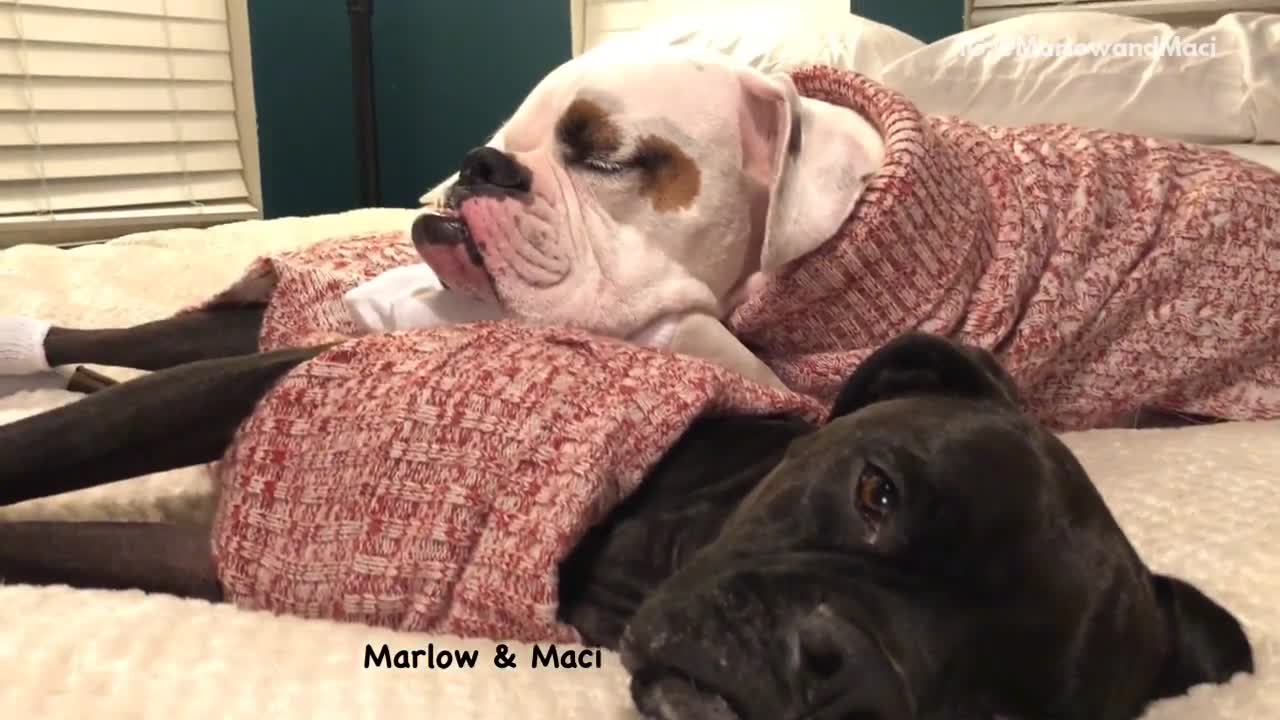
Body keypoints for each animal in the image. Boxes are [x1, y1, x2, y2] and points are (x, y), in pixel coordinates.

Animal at [0, 315, 1254, 717]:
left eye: (989, 717)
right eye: (876, 492)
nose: (841, 667)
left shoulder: (251, 559)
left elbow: (65, 542)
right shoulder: (259, 392)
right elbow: (47, 458)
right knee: (129, 352)